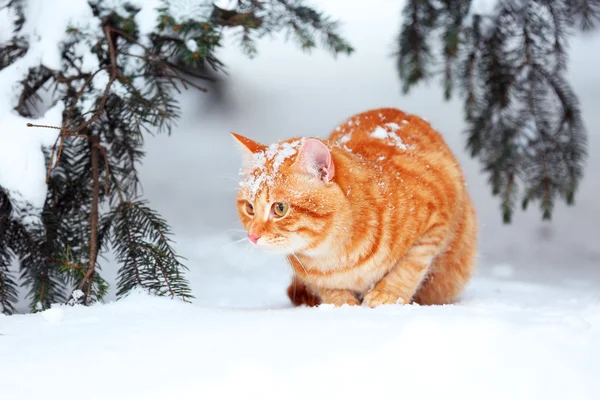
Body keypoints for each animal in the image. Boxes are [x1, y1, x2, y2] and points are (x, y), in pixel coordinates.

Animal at [232, 106, 476, 306]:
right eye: (250, 208)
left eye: (280, 208)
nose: (252, 236)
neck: (337, 256)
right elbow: (329, 289)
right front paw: (342, 304)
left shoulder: (435, 223)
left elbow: (410, 266)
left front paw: (387, 294)